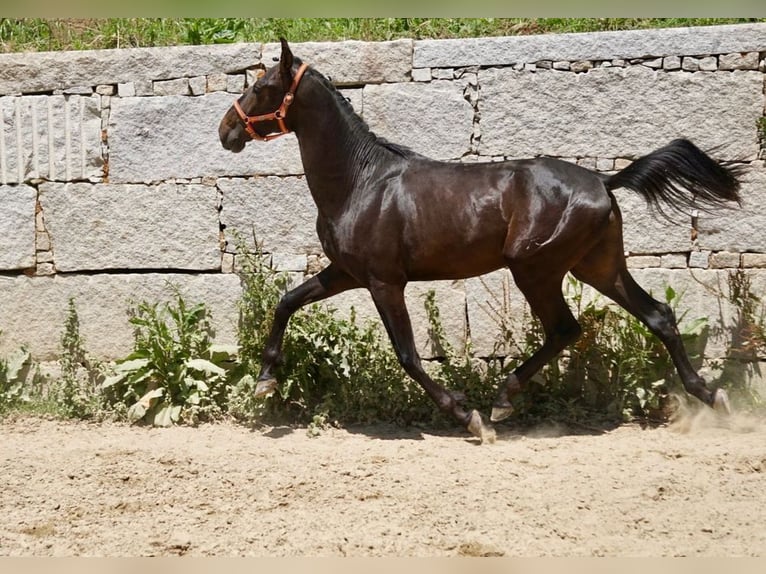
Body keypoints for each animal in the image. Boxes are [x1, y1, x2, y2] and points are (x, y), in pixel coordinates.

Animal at [220, 38, 744, 444]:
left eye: (262, 87)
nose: (226, 130)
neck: (360, 182)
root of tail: (602, 180)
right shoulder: (347, 273)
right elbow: (287, 302)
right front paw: (265, 381)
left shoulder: (384, 282)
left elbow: (408, 355)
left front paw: (467, 416)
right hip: (596, 266)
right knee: (658, 316)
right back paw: (711, 396)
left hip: (536, 269)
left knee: (566, 329)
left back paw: (499, 403)